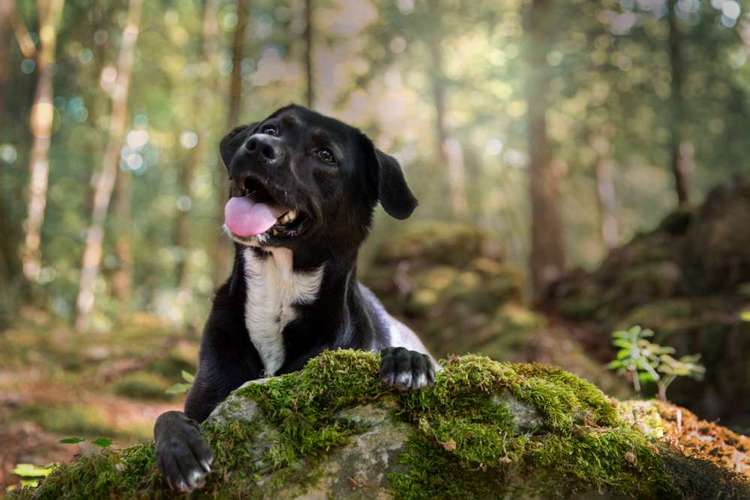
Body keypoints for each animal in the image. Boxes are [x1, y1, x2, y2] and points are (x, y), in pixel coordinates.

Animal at [156, 103, 438, 490]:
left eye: (325, 155)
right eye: (271, 129)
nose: (258, 145)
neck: (278, 288)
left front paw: (405, 361)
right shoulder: (207, 397)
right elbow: (165, 416)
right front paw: (180, 447)